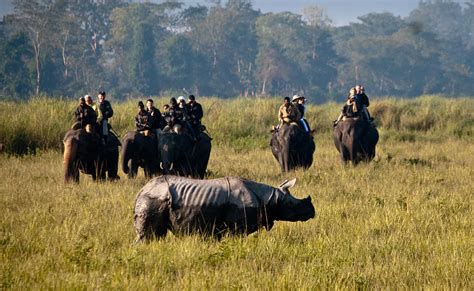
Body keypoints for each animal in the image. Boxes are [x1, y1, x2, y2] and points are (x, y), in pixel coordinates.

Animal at [133, 176, 316, 240]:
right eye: (292, 204)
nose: (313, 212)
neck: (270, 198)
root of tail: (141, 190)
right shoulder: (238, 226)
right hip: (153, 200)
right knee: (150, 236)